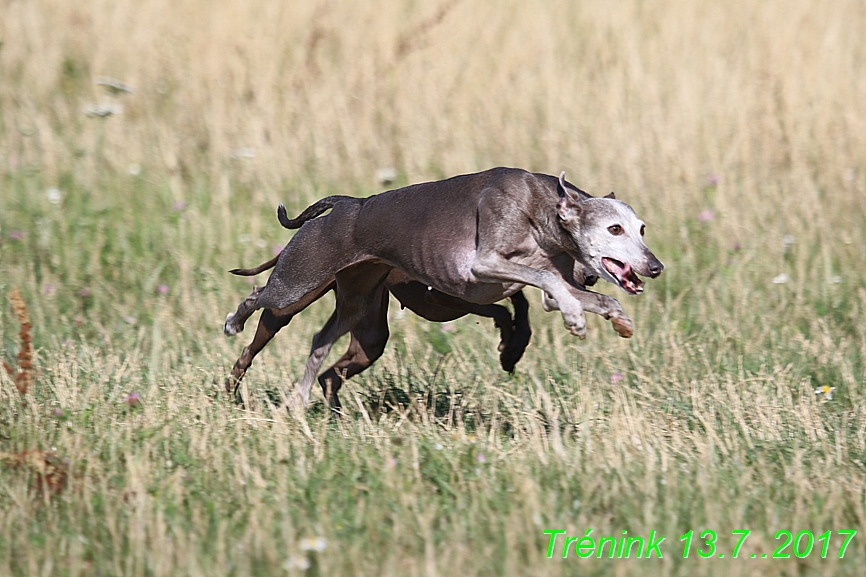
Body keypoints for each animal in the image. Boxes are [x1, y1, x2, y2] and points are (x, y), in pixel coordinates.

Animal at [224, 166, 660, 408]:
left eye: (641, 229)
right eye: (614, 229)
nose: (655, 267)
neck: (540, 206)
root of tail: (347, 203)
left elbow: (588, 296)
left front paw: (618, 319)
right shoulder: (485, 264)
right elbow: (551, 285)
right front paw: (575, 318)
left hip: (357, 303)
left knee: (318, 344)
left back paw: (301, 400)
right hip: (297, 282)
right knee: (258, 297)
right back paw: (234, 323)